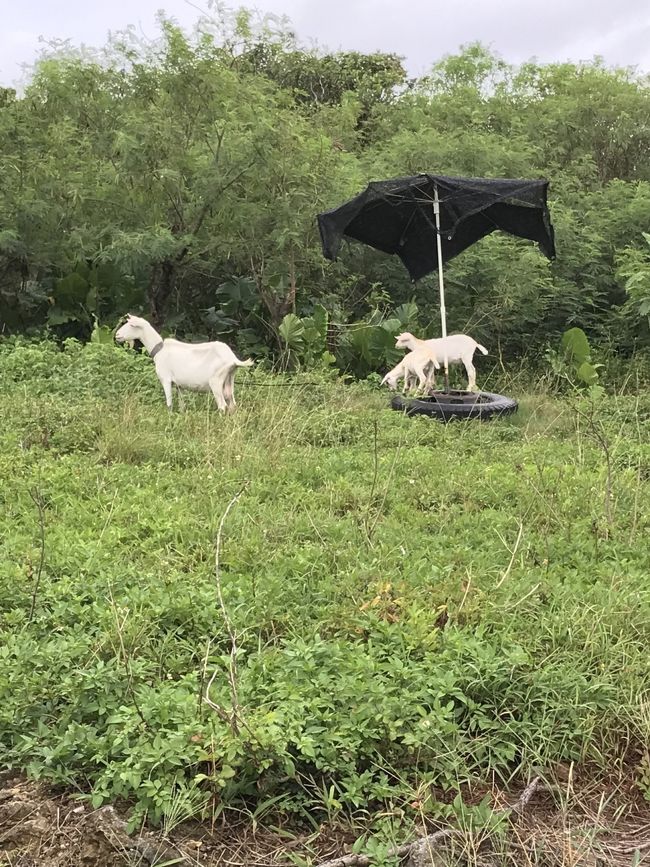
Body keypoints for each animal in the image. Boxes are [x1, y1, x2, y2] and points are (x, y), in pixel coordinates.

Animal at [115, 316, 252, 414]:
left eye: (131, 325)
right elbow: (182, 405)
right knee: (232, 404)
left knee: (222, 405)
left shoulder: (165, 379)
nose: (117, 335)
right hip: (229, 379)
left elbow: (169, 403)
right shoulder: (178, 385)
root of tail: (232, 359)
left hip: (216, 381)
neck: (159, 350)